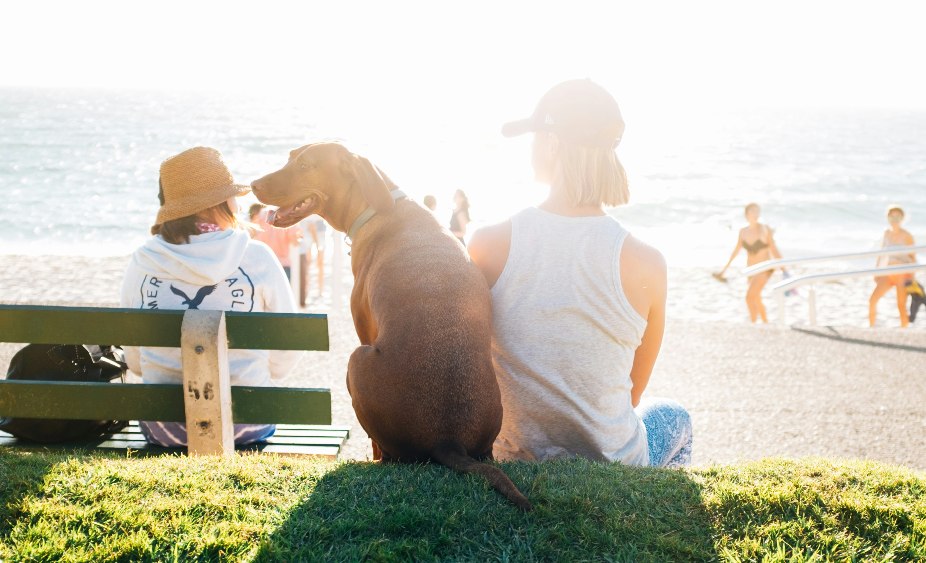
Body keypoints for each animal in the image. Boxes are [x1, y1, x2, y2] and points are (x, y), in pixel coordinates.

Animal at [250, 142, 532, 512]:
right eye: (289, 158)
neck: (379, 205)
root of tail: (448, 440)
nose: (252, 184)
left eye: (306, 165)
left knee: (386, 452)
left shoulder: (364, 328)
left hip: (356, 360)